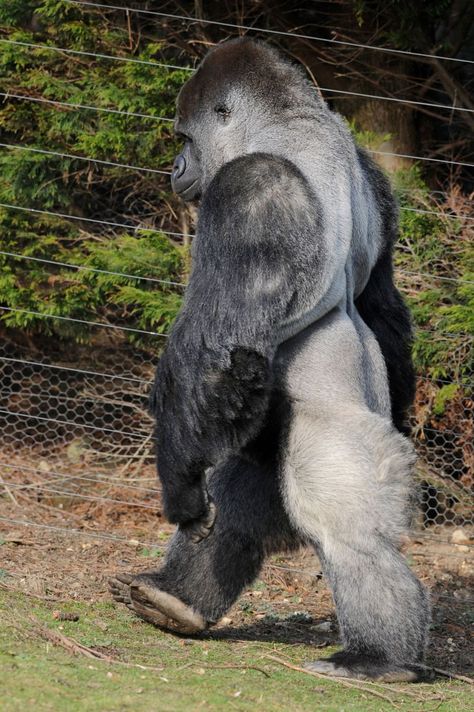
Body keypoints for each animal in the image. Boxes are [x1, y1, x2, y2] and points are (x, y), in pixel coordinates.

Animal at [110, 37, 430, 680]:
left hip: (339, 434)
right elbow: (383, 307)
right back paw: (175, 601)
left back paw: (377, 657)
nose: (175, 168)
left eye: (185, 138)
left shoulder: (251, 186)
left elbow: (208, 349)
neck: (292, 123)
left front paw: (179, 491)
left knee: (349, 533)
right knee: (240, 501)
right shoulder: (380, 184)